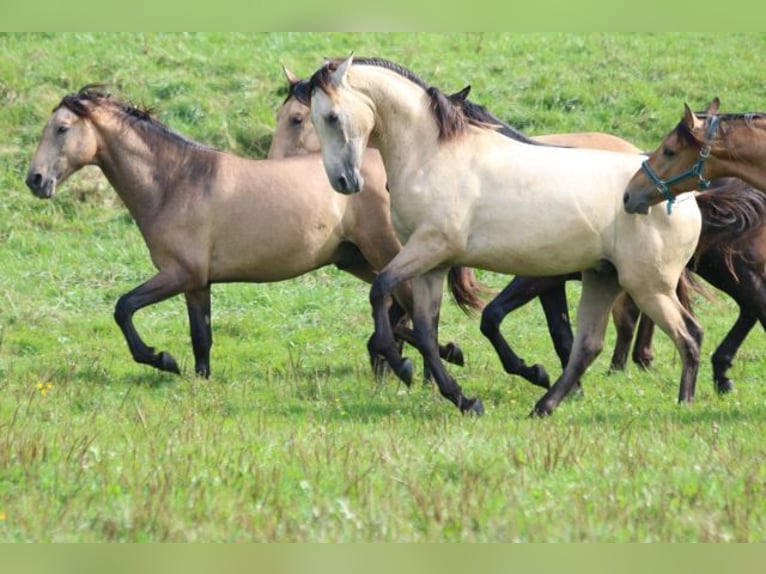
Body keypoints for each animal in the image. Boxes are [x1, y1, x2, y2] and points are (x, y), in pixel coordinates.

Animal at [24, 85, 480, 380]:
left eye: (62, 128)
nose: (35, 180)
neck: (176, 181)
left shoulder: (179, 274)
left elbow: (123, 307)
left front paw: (160, 358)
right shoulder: (197, 283)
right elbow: (201, 338)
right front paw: (197, 377)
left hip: (383, 252)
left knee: (405, 305)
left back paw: (420, 364)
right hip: (355, 259)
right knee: (399, 306)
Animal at [304, 57, 704, 418]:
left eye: (333, 117)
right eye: (312, 116)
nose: (344, 181)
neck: (434, 154)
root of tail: (683, 198)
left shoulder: (430, 248)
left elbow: (381, 290)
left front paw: (404, 368)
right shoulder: (432, 266)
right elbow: (426, 332)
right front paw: (465, 400)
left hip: (648, 286)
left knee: (690, 335)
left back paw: (684, 404)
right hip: (603, 277)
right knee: (588, 346)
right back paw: (543, 405)